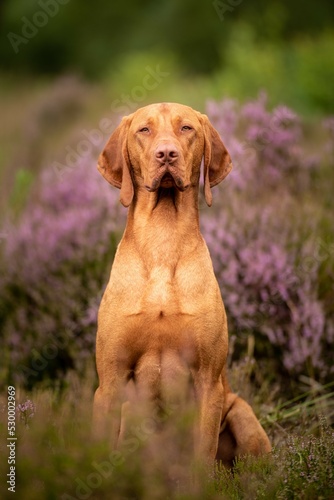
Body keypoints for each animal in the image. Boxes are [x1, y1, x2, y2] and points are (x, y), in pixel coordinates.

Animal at [92, 100, 270, 464]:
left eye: (186, 128)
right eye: (144, 130)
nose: (166, 154)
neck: (164, 236)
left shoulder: (208, 381)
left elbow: (202, 454)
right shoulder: (110, 383)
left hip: (240, 412)